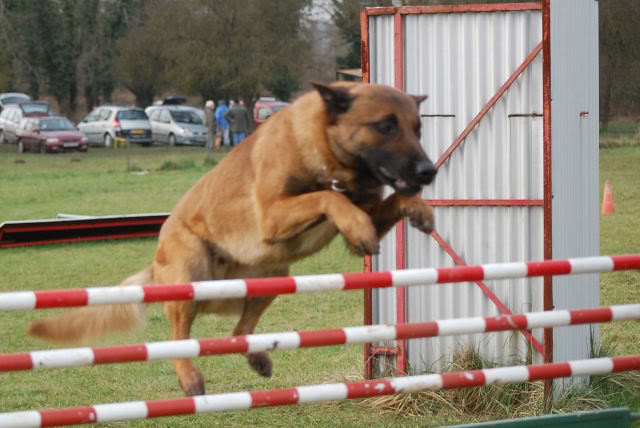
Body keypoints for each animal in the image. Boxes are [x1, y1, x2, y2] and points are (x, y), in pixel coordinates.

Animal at [30, 82, 440, 396]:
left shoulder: (366, 208)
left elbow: (390, 199)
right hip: (191, 273)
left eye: (417, 129)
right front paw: (357, 225)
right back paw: (190, 378)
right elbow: (327, 197)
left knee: (238, 330)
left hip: (274, 274)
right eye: (385, 126)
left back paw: (256, 356)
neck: (328, 155)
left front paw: (418, 207)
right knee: (179, 338)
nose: (428, 171)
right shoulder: (274, 215)